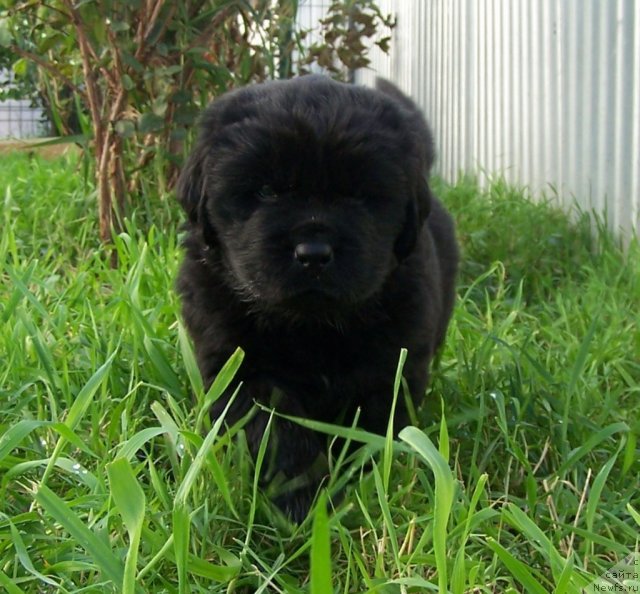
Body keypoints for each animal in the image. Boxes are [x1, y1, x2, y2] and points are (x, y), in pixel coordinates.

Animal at [175, 75, 458, 520]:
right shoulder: (243, 368)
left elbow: (370, 430)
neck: (310, 324)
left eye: (359, 194)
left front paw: (361, 488)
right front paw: (301, 501)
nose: (313, 253)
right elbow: (279, 432)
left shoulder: (392, 365)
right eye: (267, 191)